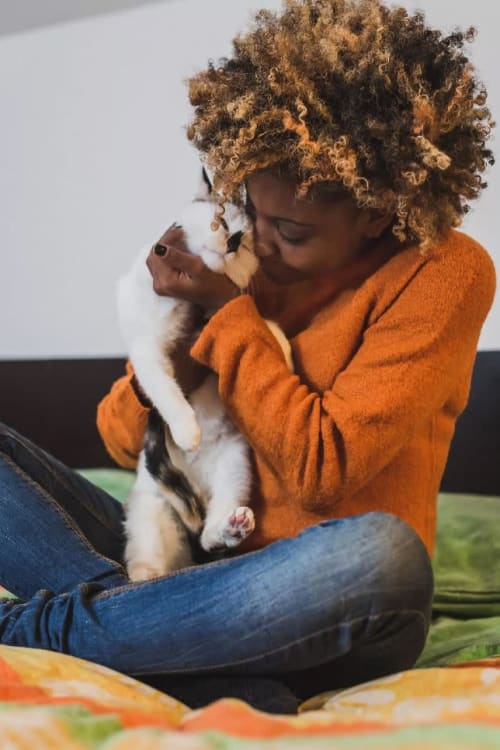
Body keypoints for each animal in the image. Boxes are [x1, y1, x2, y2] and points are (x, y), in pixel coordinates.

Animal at [117, 170, 292, 580]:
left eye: (244, 243)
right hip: (152, 512)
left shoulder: (226, 311)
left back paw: (230, 527)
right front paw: (187, 430)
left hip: (237, 465)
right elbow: (165, 389)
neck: (190, 304)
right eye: (221, 224)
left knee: (212, 531)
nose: (231, 242)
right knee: (146, 565)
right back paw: (147, 577)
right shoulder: (147, 346)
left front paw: (286, 352)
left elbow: (265, 325)